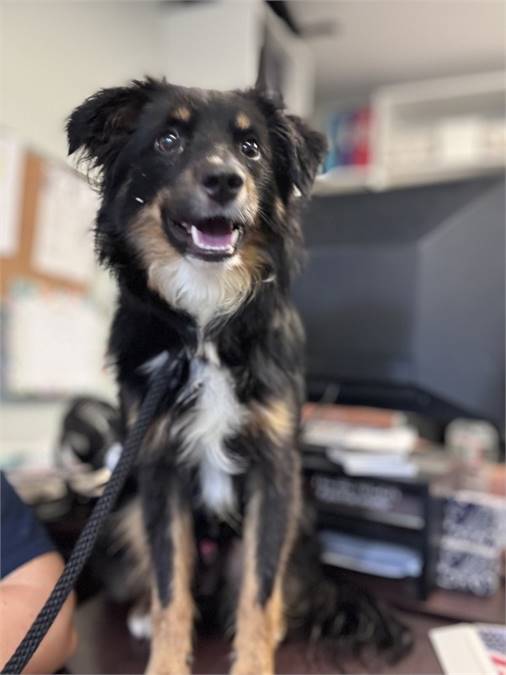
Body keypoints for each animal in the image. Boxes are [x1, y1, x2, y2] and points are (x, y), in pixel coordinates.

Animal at [66, 80, 408, 675]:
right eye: (168, 140)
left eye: (251, 149)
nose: (225, 180)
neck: (204, 324)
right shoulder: (158, 469)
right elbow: (170, 588)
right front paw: (164, 659)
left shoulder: (275, 473)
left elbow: (259, 590)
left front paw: (253, 659)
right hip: (123, 511)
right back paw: (141, 612)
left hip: (300, 514)